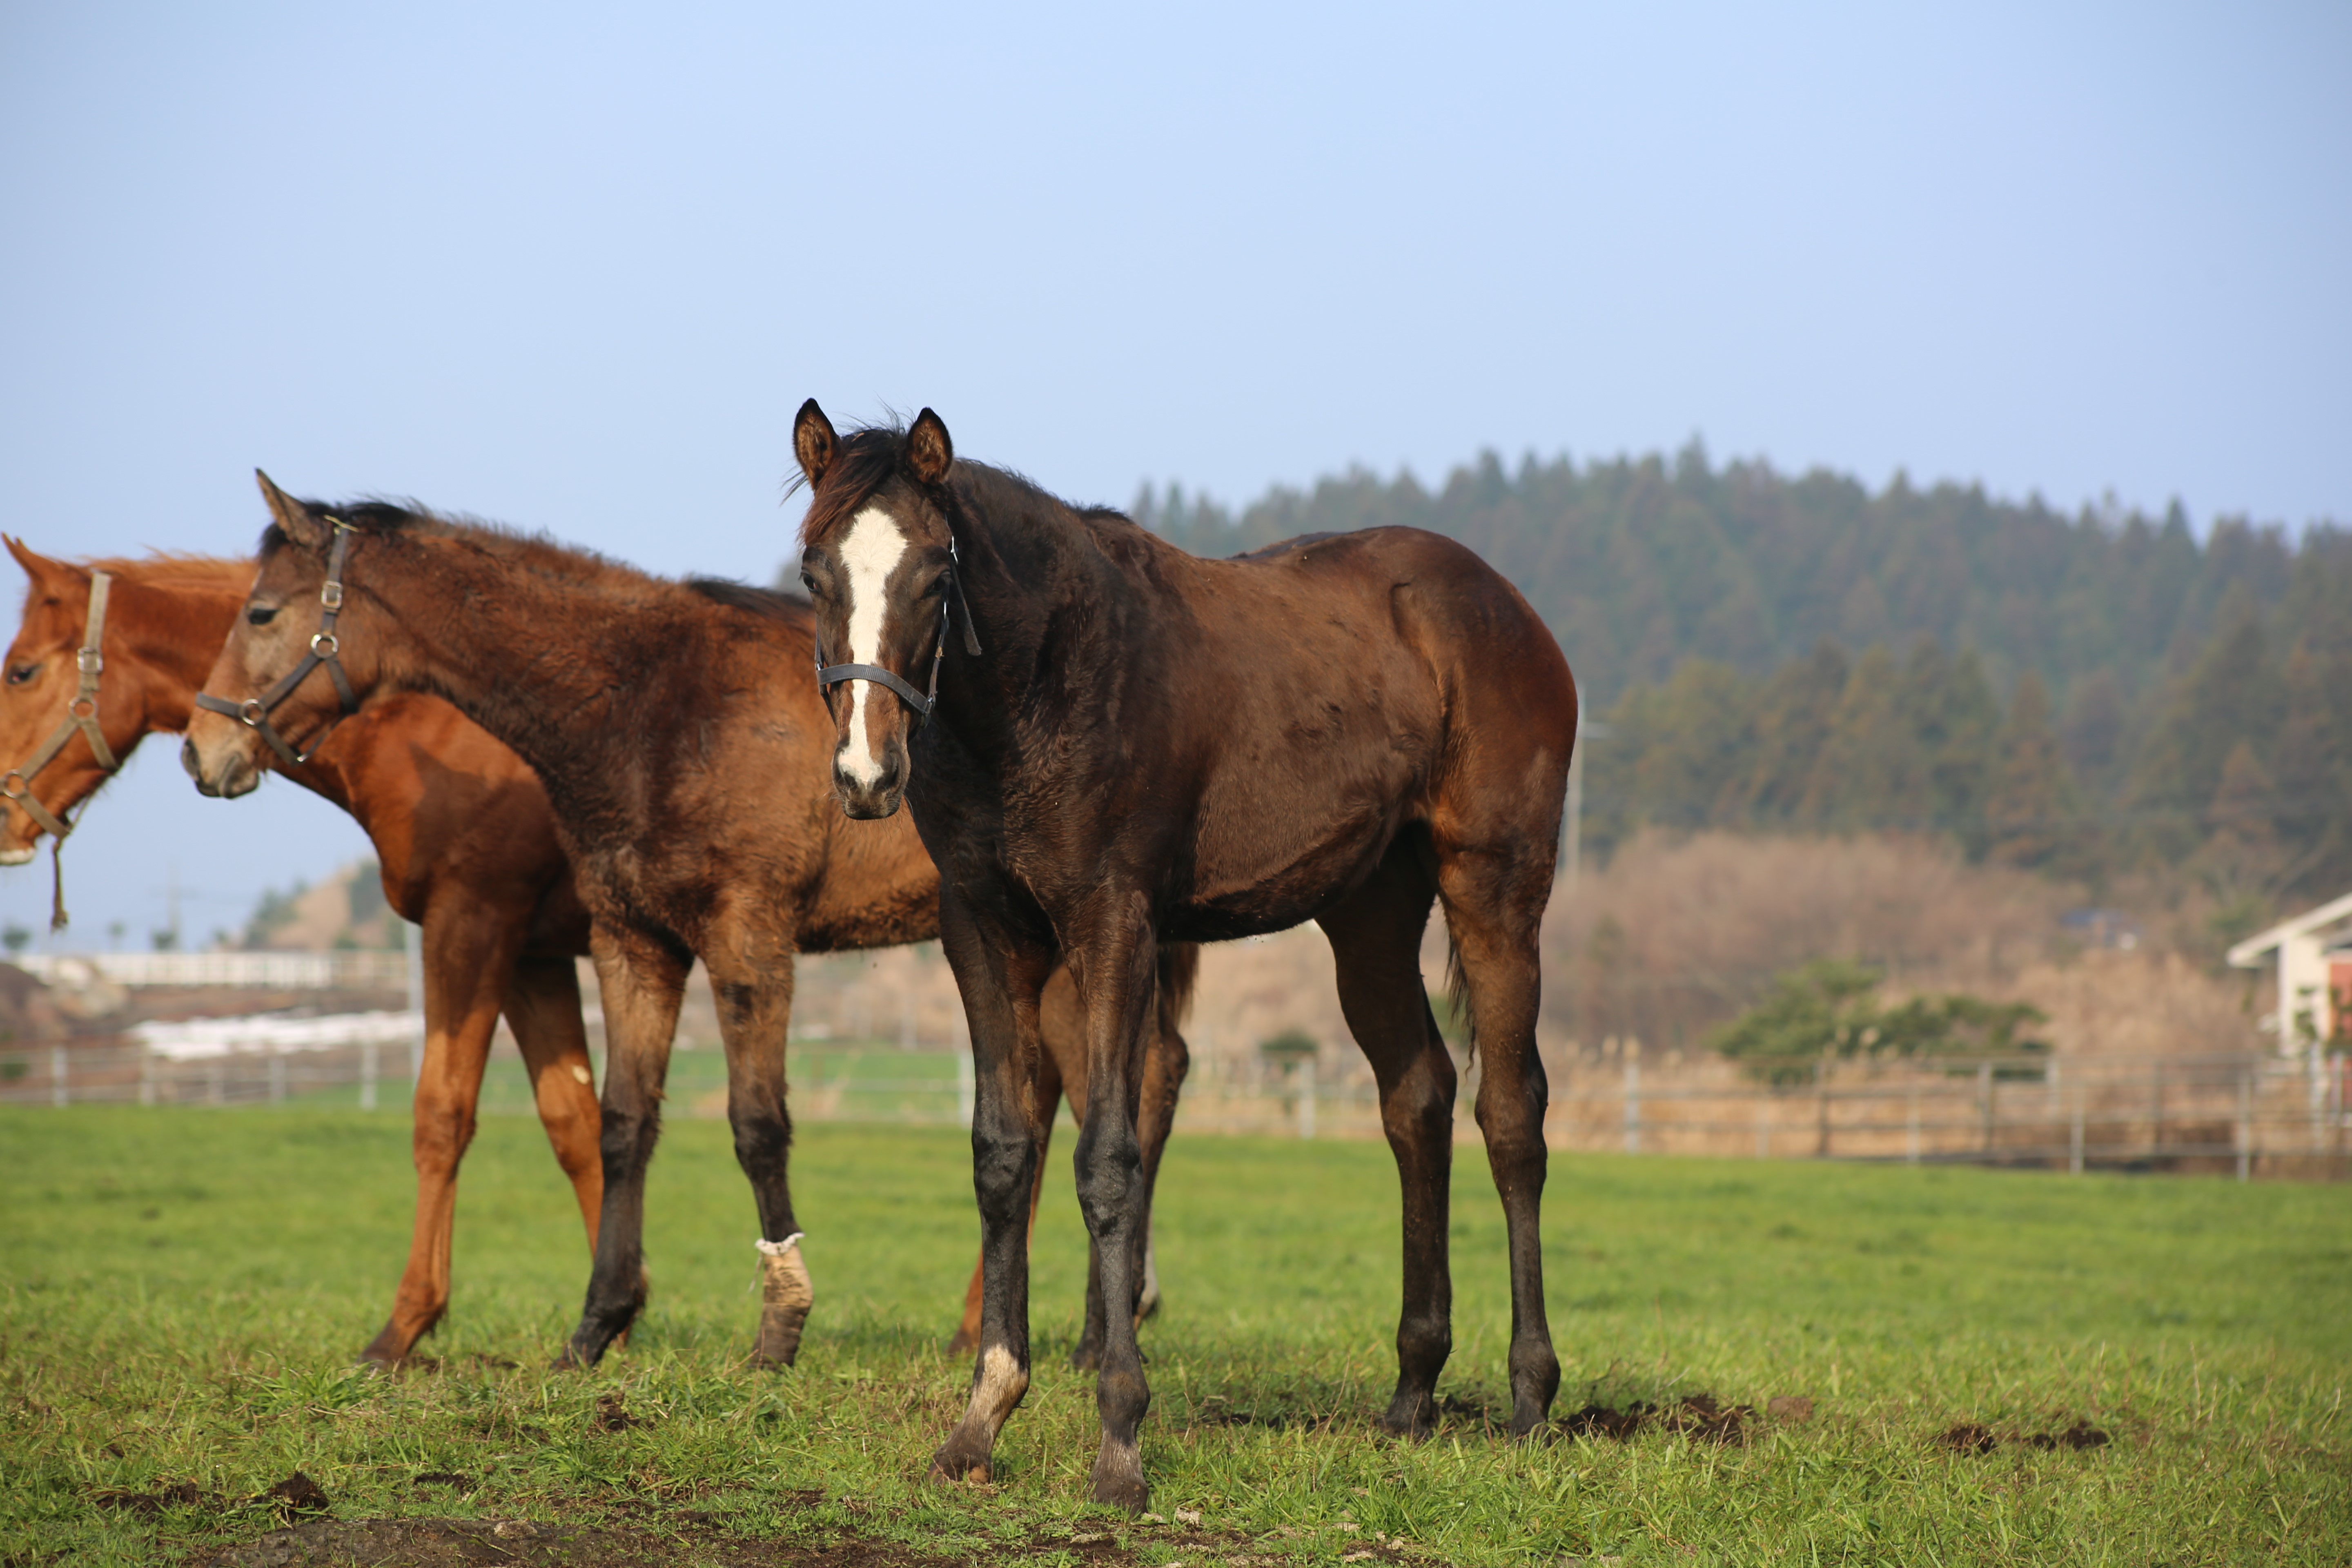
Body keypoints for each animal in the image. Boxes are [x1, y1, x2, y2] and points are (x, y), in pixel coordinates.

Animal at [178, 479, 1195, 1373]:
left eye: (260, 614)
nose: (202, 748)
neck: (655, 703)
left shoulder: (748, 936)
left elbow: (757, 1123)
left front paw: (781, 1327)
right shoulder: (633, 943)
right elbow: (623, 1122)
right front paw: (599, 1325)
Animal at [790, 404, 1580, 1504]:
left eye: (933, 577)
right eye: (814, 571)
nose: (867, 774)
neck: (1046, 683)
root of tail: (1505, 608)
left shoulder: (1114, 922)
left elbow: (1108, 1159)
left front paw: (1120, 1437)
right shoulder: (981, 928)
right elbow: (1003, 1156)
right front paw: (981, 1418)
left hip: (1495, 886)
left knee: (1511, 1117)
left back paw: (1530, 1401)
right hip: (1370, 912)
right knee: (1416, 1096)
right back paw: (1412, 1391)